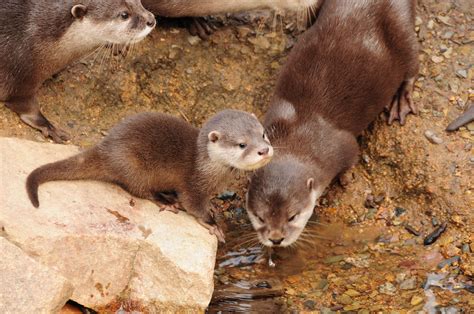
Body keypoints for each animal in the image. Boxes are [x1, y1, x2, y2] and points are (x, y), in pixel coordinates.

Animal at [0, 0, 156, 142]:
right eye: (124, 14)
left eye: (139, 2)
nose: (151, 20)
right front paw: (49, 127)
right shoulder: (21, 72)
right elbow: (24, 105)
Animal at [25, 110, 274, 243]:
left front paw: (212, 207)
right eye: (242, 144)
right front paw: (213, 225)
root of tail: (105, 148)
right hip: (134, 167)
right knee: (139, 190)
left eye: (263, 134)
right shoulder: (193, 185)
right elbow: (193, 205)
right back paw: (167, 201)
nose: (264, 150)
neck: (209, 167)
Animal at [244, 0, 418, 248]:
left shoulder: (343, 145)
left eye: (293, 216)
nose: (276, 239)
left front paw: (346, 178)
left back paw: (401, 99)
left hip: (400, 26)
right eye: (259, 216)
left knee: (412, 62)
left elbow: (351, 158)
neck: (297, 135)